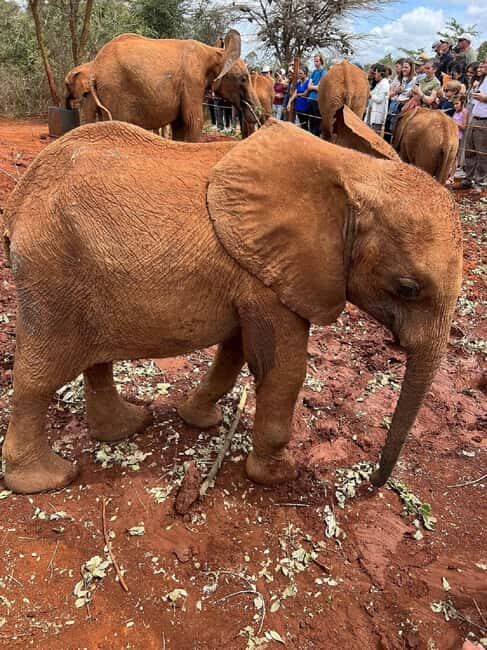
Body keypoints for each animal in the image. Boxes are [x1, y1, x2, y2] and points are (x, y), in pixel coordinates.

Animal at [2, 119, 462, 495]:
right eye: (408, 288)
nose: (373, 483)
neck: (353, 171)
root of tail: (20, 201)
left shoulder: (255, 275)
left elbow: (236, 352)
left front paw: (198, 419)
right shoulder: (270, 279)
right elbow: (283, 370)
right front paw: (279, 475)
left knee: (94, 361)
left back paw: (127, 426)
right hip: (51, 276)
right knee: (37, 377)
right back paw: (47, 479)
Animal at [66, 29, 258, 141]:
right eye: (243, 78)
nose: (255, 115)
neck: (214, 52)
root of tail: (95, 68)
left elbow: (180, 125)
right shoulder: (192, 80)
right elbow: (193, 121)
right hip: (113, 90)